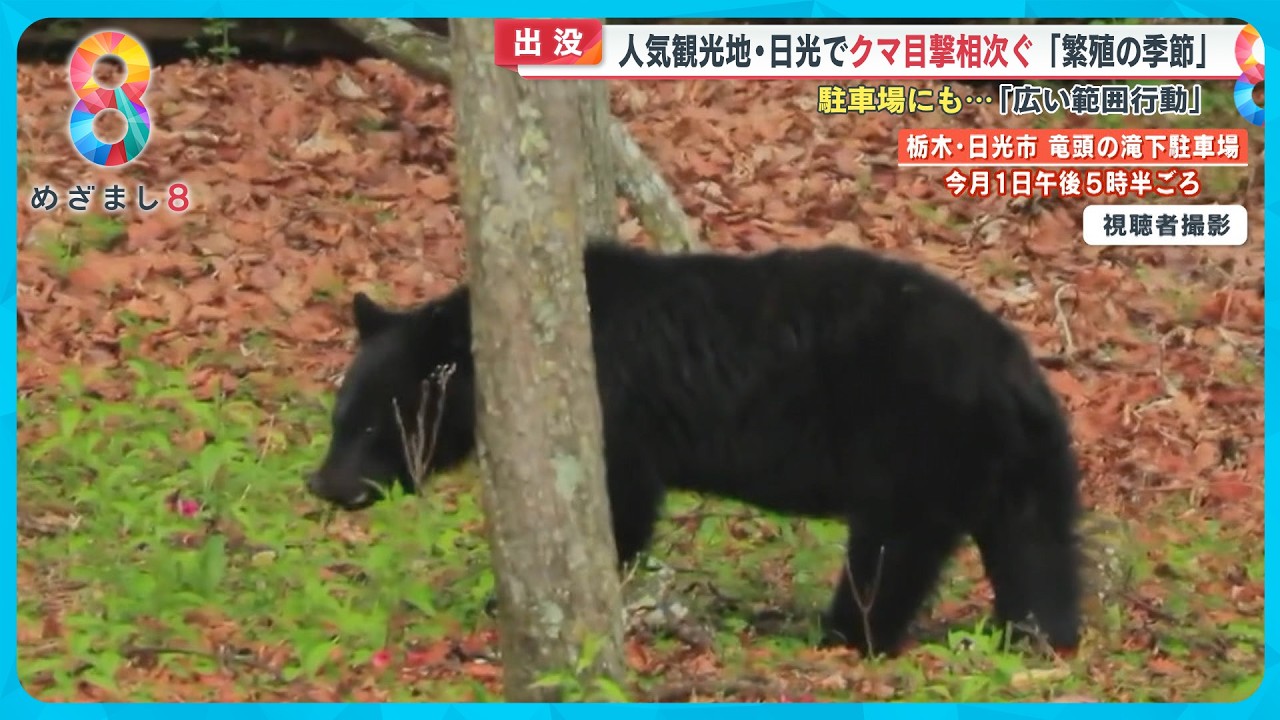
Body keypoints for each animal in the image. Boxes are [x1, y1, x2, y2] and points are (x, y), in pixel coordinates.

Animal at [308, 238, 1083, 657]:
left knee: (892, 552)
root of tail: (1014, 371)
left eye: (372, 426)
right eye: (337, 417)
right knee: (1038, 550)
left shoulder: (615, 406)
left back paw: (839, 633)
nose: (325, 483)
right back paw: (1039, 634)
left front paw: (509, 604)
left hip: (916, 444)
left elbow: (619, 506)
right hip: (1025, 466)